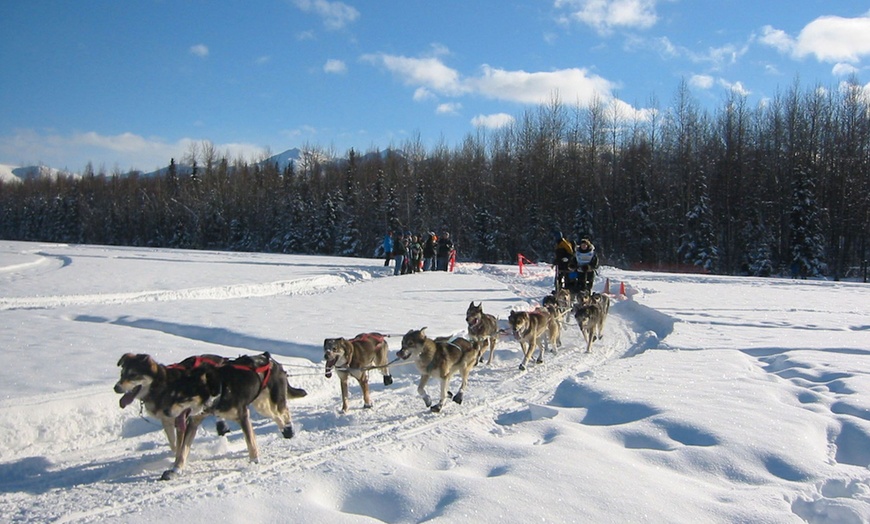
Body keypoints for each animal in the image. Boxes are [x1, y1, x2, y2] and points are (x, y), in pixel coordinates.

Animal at [159, 352, 306, 478]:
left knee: (284, 412)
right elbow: (183, 448)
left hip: (274, 402)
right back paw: (286, 431)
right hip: (261, 405)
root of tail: (271, 360)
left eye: (184, 398)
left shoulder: (243, 415)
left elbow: (250, 441)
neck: (219, 389)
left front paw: (255, 461)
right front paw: (176, 469)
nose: (166, 411)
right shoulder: (194, 421)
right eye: (172, 394)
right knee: (276, 416)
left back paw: (289, 429)